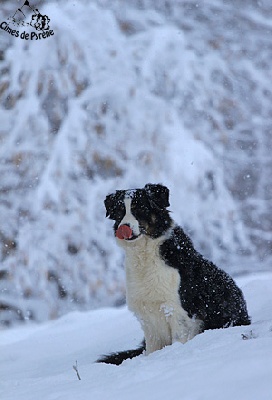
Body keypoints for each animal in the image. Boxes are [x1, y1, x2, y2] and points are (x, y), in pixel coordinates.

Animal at [98, 183, 251, 364]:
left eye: (141, 208)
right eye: (120, 211)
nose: (124, 228)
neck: (145, 254)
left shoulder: (178, 312)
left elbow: (178, 342)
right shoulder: (148, 318)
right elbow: (152, 350)